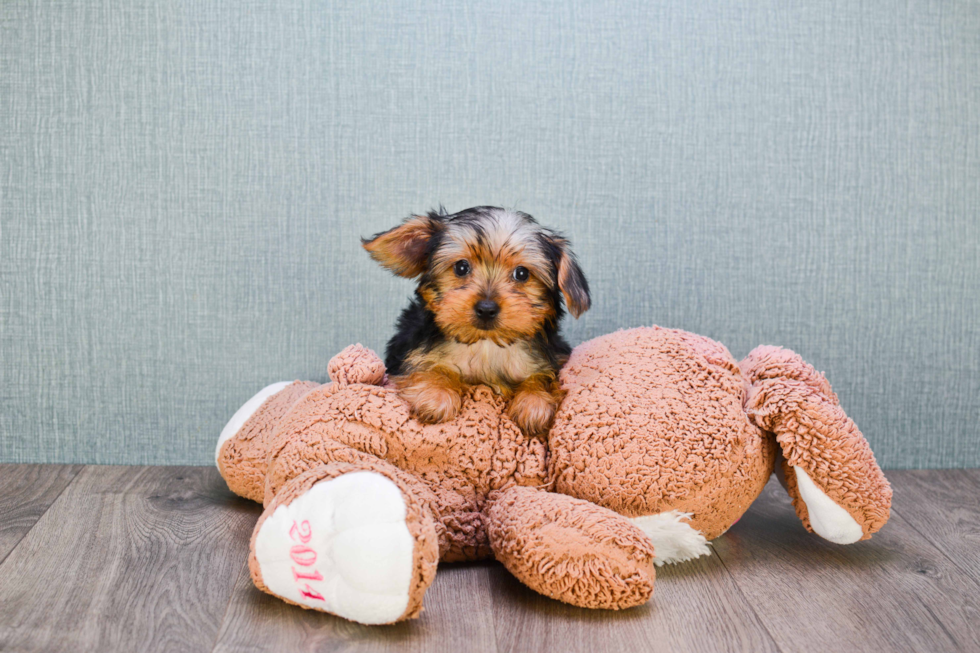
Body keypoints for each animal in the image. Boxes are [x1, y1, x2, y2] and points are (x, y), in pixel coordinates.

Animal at [360, 206, 588, 436]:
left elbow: (543, 376)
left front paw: (535, 402)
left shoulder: (551, 358)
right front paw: (436, 395)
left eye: (522, 273)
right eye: (461, 267)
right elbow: (428, 368)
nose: (486, 309)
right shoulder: (411, 354)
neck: (485, 343)